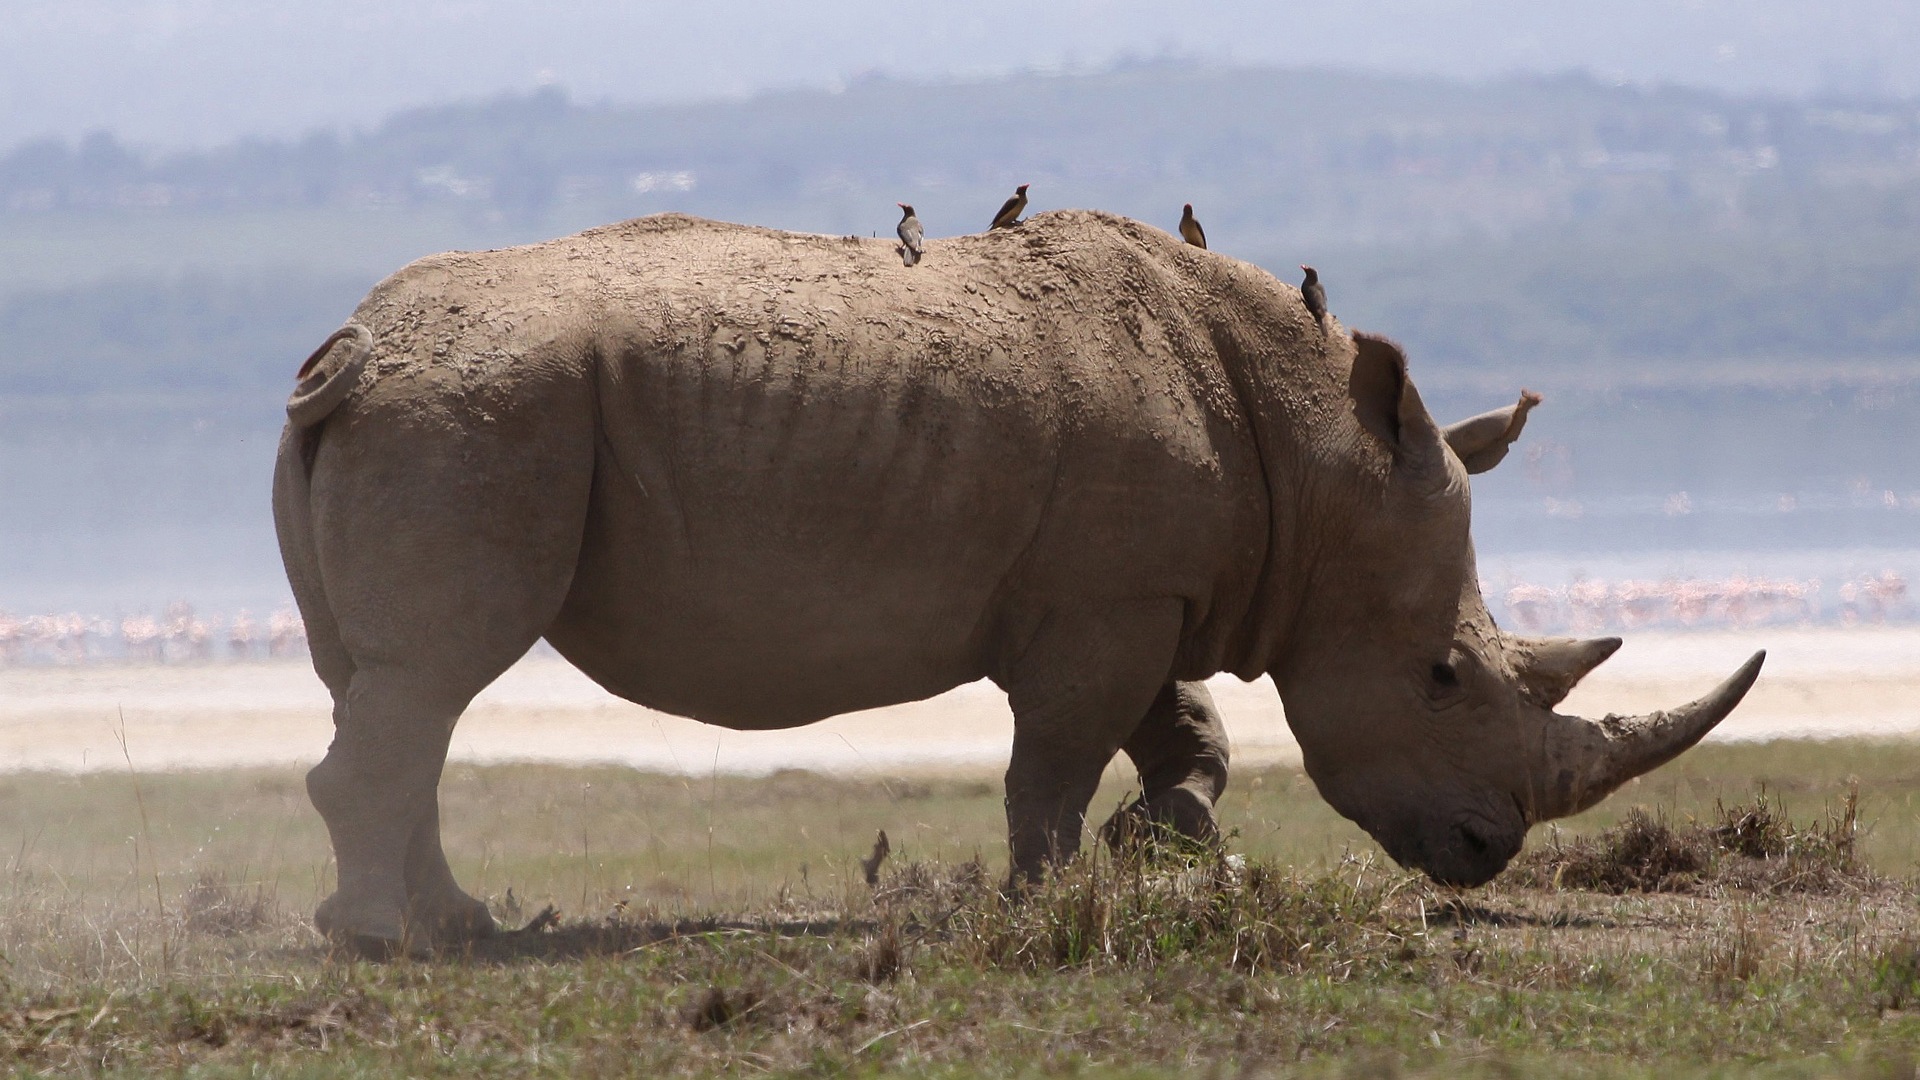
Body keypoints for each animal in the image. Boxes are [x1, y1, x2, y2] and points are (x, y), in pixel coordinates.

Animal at [278, 208, 1758, 941]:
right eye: (1443, 676)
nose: (1485, 854)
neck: (1322, 460)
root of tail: (350, 346)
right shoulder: (1102, 606)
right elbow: (1051, 757)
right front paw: (1048, 900)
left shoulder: (1144, 589)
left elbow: (1184, 726)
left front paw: (1171, 842)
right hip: (481, 416)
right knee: (435, 677)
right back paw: (392, 942)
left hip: (439, 414)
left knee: (396, 688)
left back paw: (457, 924)